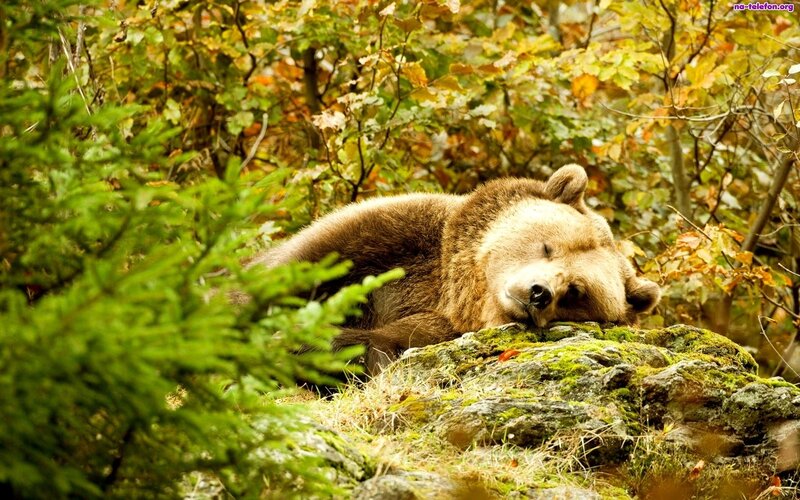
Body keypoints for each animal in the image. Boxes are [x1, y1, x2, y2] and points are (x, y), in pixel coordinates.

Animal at [248, 165, 661, 375]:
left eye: (576, 290)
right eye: (549, 246)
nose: (538, 293)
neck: (453, 286)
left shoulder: (440, 326)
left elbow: (377, 344)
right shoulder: (392, 235)